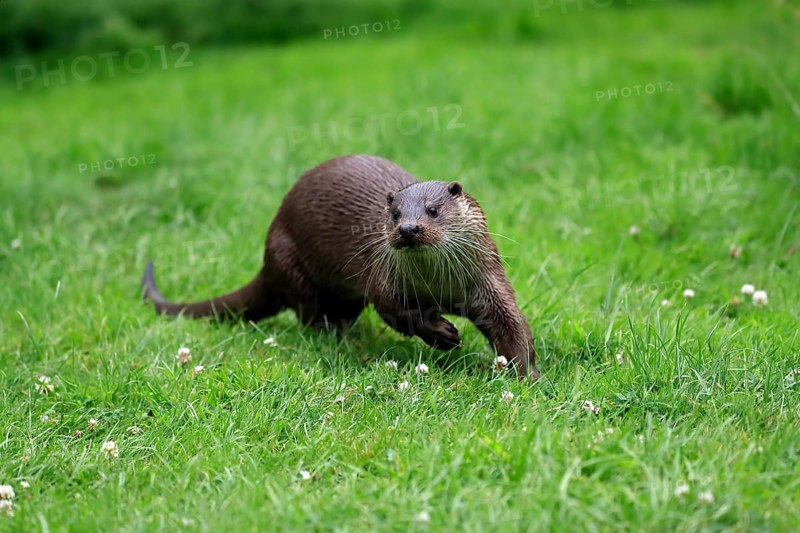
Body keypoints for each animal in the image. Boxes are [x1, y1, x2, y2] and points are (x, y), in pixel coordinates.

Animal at [142, 154, 539, 378]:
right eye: (395, 214)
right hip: (290, 262)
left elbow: (511, 323)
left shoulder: (487, 281)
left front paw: (526, 376)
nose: (408, 229)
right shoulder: (383, 281)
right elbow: (397, 313)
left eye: (433, 210)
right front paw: (442, 333)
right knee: (309, 314)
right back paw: (337, 338)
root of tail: (267, 259)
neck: (437, 287)